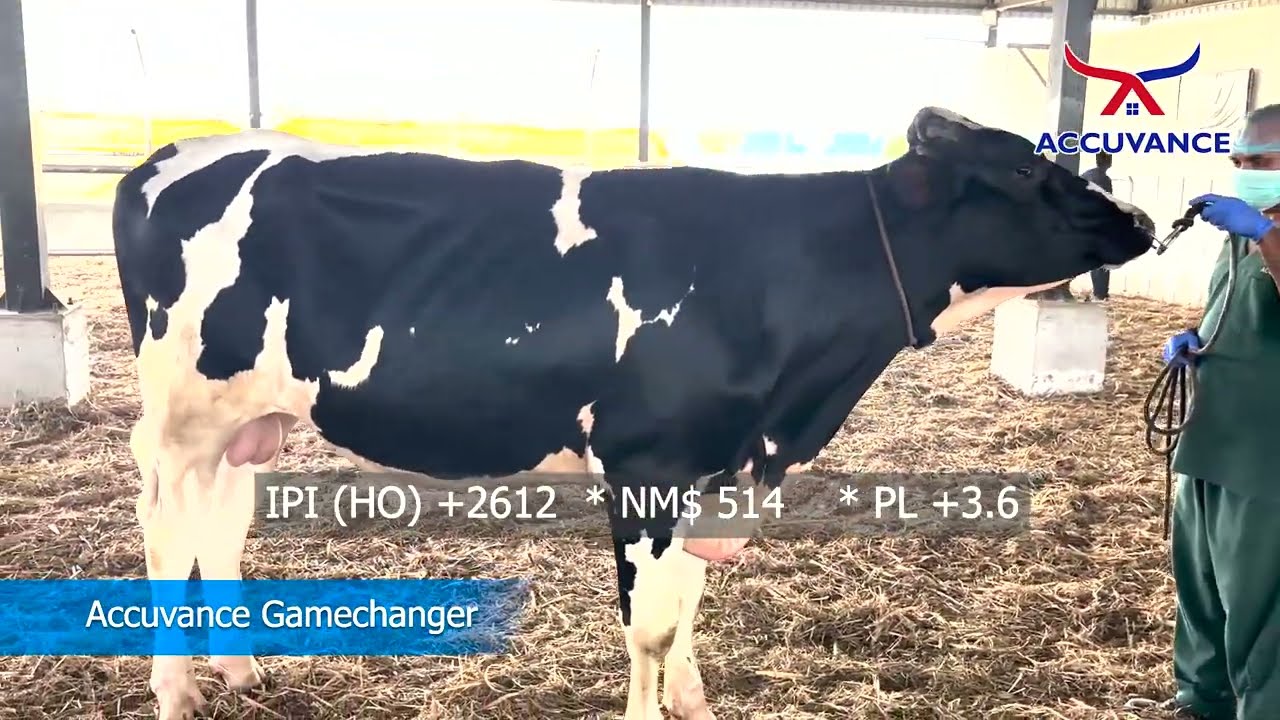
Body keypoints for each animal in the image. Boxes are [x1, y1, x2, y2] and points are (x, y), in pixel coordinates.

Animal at [109, 106, 1155, 720]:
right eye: (1022, 172)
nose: (1143, 220)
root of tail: (173, 153)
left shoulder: (715, 471)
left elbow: (686, 611)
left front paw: (696, 705)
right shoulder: (652, 465)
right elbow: (648, 627)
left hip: (245, 426)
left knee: (221, 531)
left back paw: (239, 671)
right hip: (179, 422)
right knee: (167, 541)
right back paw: (176, 691)